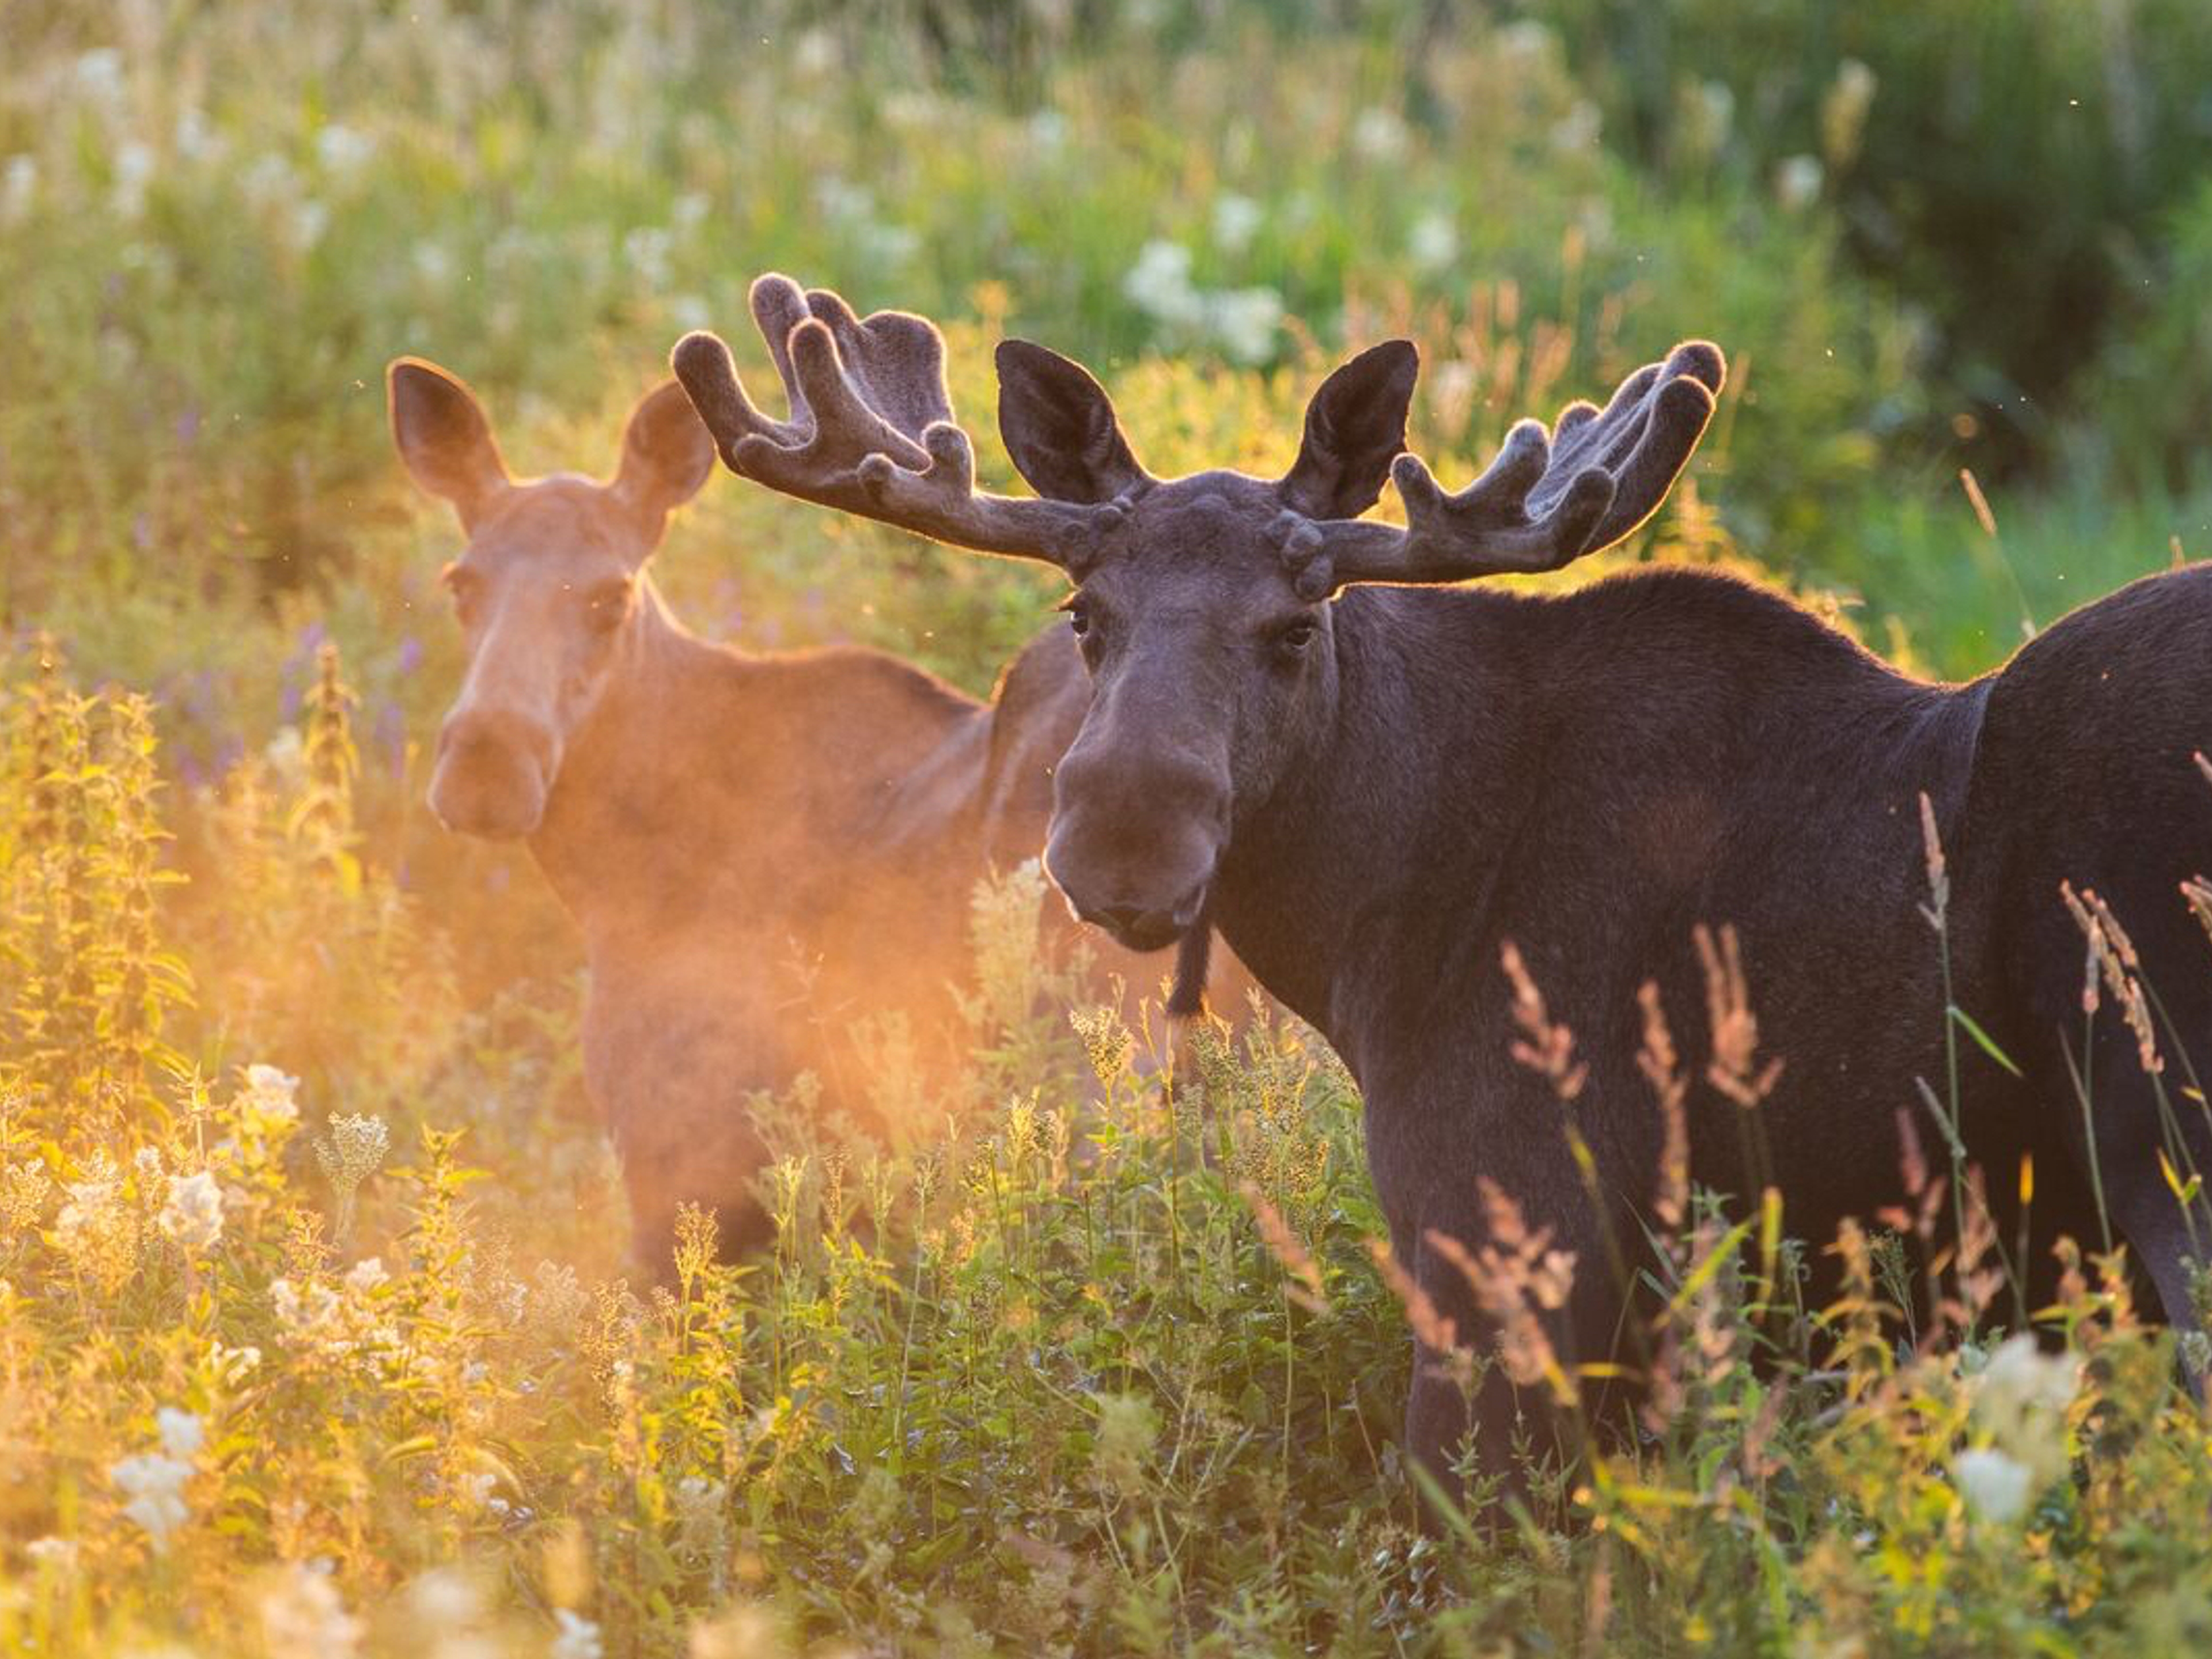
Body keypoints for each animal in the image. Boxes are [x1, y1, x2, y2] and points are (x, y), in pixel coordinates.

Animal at [672, 274, 2212, 1513]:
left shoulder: (1505, 1234)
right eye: (1082, 613)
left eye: (1295, 626)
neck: (1380, 926)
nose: (1122, 843)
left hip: (2167, 1155)